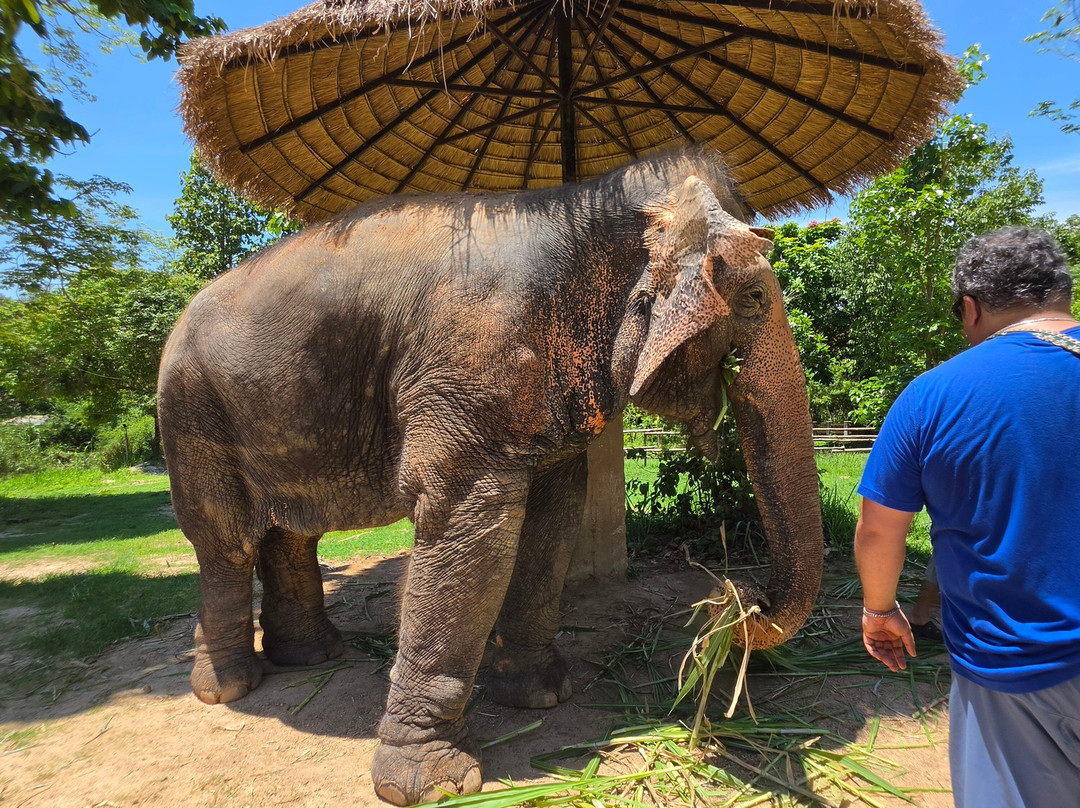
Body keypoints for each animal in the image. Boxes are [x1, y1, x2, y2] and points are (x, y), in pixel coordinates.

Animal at [157, 147, 824, 806]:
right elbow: (468, 531)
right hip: (191, 414)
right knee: (226, 543)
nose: (737, 602)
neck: (584, 204)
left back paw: (312, 656)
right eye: (754, 298)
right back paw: (229, 687)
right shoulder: (464, 381)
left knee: (291, 533)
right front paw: (433, 785)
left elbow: (555, 517)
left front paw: (541, 696)